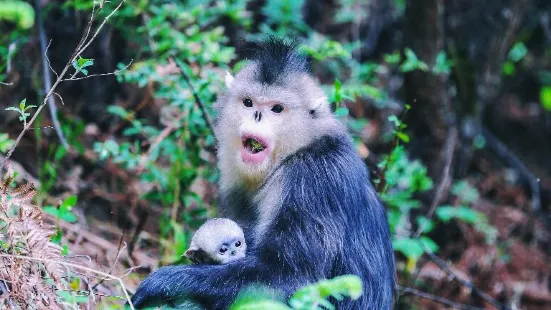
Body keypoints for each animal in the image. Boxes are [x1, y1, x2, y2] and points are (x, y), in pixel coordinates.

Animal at [131, 37, 394, 308]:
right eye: (248, 103)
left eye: (276, 109)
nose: (257, 115)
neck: (294, 151)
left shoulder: (313, 181)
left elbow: (291, 279)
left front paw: (162, 283)